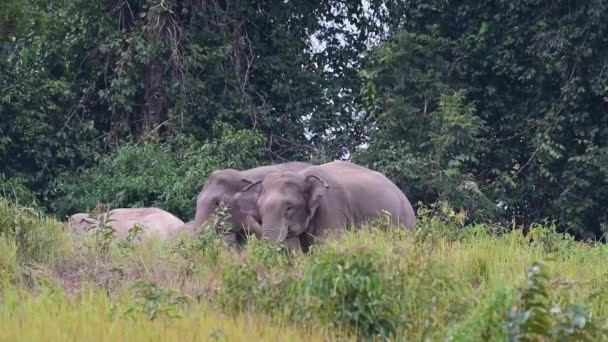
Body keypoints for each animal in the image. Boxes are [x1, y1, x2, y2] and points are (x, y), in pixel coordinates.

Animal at [232, 160, 414, 251]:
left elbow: (326, 244)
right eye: (260, 209)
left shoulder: (332, 208)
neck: (302, 175)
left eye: (289, 207)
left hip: (404, 223)